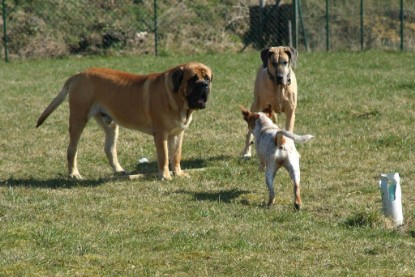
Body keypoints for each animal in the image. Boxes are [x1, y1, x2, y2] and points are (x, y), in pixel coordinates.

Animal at [36, 62, 214, 179]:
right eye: (193, 79)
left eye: (207, 78)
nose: (204, 85)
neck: (177, 100)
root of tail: (78, 74)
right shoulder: (161, 135)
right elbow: (164, 157)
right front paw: (165, 176)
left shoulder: (177, 134)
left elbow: (176, 155)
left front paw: (179, 173)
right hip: (78, 118)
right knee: (72, 149)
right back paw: (74, 174)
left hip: (111, 125)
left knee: (109, 149)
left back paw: (119, 171)